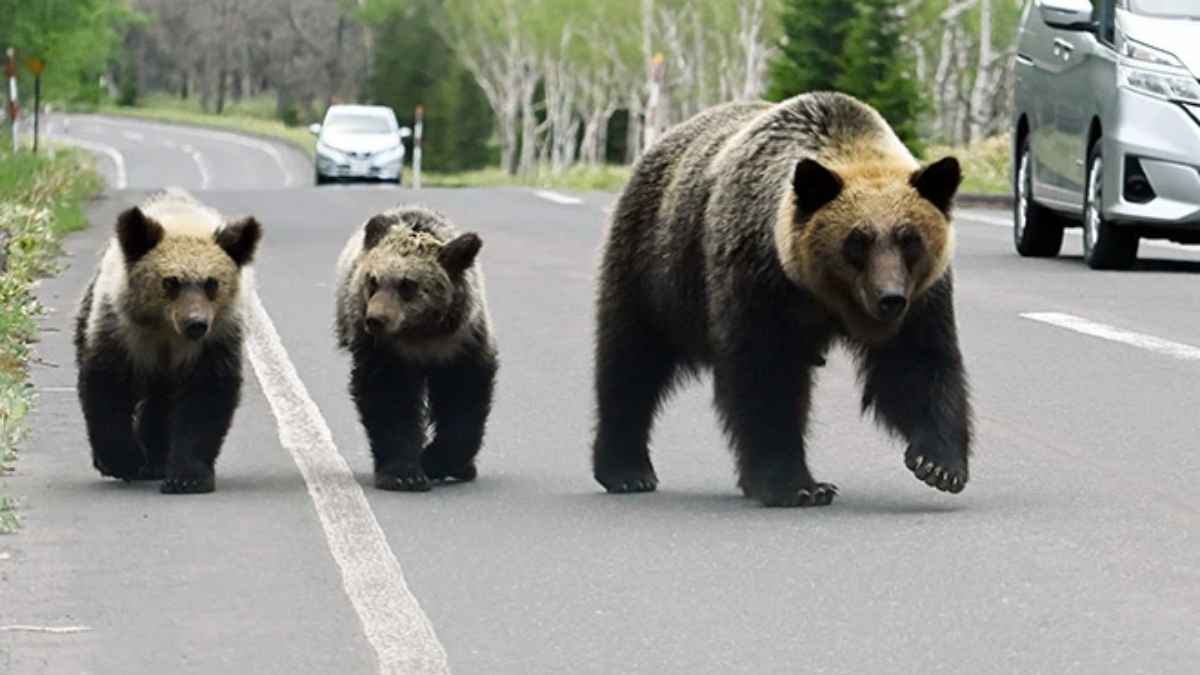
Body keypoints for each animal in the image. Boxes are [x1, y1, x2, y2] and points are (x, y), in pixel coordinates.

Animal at [74, 188, 262, 494]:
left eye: (212, 283)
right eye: (170, 281)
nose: (196, 324)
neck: (167, 330)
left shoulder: (216, 339)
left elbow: (205, 397)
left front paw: (187, 477)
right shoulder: (120, 329)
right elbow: (108, 388)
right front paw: (123, 460)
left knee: (162, 404)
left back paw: (157, 460)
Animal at [335, 206, 498, 492]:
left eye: (407, 284)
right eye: (373, 280)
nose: (375, 319)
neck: (420, 334)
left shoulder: (462, 342)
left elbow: (463, 397)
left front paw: (436, 461)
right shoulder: (384, 351)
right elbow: (390, 399)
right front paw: (404, 474)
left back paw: (465, 468)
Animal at [591, 92, 973, 508]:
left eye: (910, 239)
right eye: (857, 240)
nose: (889, 298)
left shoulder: (923, 297)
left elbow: (916, 363)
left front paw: (938, 464)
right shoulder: (759, 280)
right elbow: (766, 375)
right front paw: (798, 485)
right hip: (656, 264)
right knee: (632, 358)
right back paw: (626, 470)